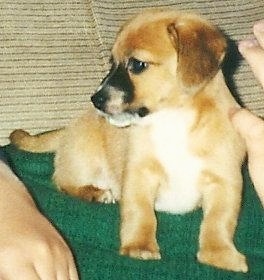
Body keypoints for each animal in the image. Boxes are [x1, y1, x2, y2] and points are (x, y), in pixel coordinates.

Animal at [9, 9, 248, 272]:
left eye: (137, 64)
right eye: (112, 63)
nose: (95, 99)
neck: (174, 121)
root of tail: (67, 129)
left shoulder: (225, 183)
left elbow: (218, 221)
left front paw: (219, 253)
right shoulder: (139, 175)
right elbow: (140, 213)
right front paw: (139, 246)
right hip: (83, 162)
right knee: (63, 182)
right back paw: (94, 192)